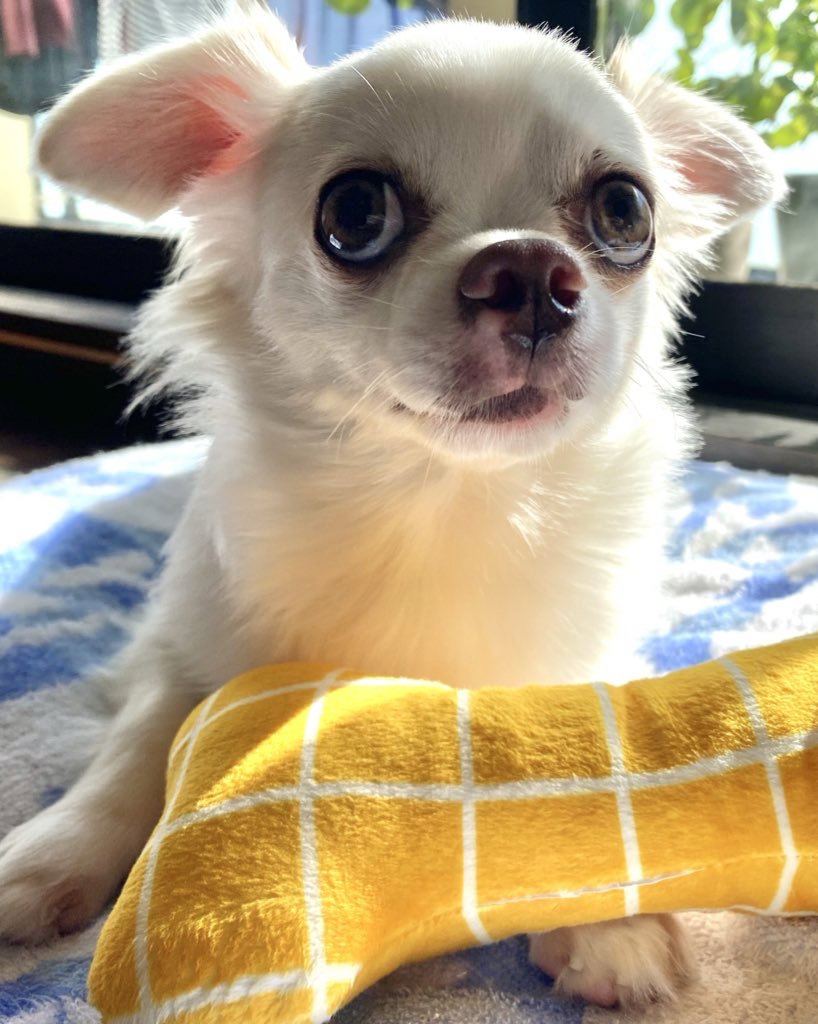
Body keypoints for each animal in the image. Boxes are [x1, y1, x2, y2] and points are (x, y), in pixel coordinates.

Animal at [0, 8, 782, 1007]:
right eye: (355, 215)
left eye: (623, 211)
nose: (532, 270)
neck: (441, 499)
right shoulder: (181, 637)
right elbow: (140, 739)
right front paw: (54, 851)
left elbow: (602, 747)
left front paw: (613, 919)